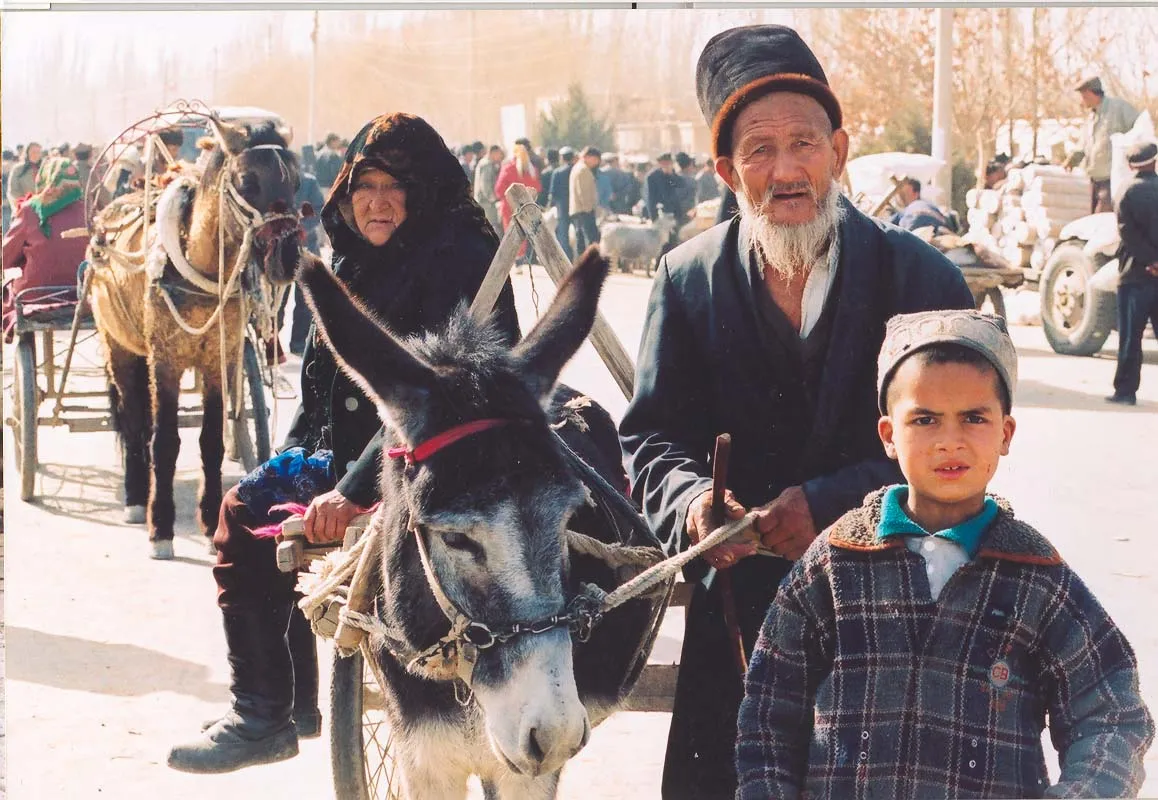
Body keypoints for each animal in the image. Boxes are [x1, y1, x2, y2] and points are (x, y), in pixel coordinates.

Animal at [86, 122, 310, 560]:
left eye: (295, 180)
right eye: (247, 180)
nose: (287, 256)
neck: (198, 268)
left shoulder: (219, 360)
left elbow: (211, 441)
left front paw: (209, 523)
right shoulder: (165, 361)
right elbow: (164, 441)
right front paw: (161, 528)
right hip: (120, 348)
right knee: (135, 422)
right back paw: (136, 498)